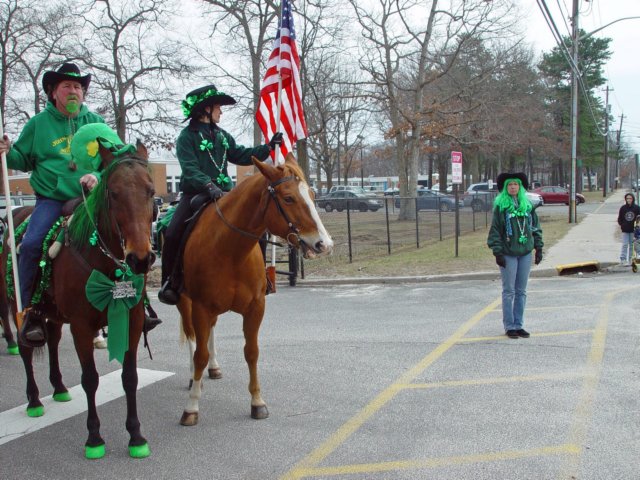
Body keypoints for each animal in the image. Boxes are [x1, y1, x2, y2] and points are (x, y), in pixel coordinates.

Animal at [1, 142, 156, 458]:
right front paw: (94, 437)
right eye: (113, 193)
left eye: (150, 190)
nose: (141, 259)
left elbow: (130, 377)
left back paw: (59, 388)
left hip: (53, 314)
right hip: (16, 303)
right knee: (25, 349)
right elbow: (90, 379)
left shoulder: (132, 321)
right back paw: (34, 400)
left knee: (52, 341)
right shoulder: (82, 326)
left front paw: (136, 436)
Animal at [178, 153, 332, 424]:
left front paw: (257, 401)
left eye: (312, 195)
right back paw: (192, 376)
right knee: (192, 337)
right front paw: (192, 406)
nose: (324, 244)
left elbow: (251, 352)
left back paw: (214, 367)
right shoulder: (200, 307)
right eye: (288, 198)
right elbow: (199, 355)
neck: (230, 250)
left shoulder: (255, 308)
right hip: (185, 302)